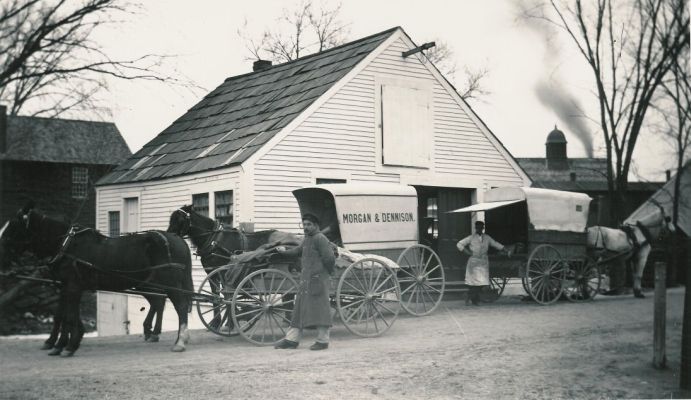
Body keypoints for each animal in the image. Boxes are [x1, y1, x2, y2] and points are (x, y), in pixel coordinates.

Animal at [1, 203, 195, 356]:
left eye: (14, 227)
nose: (2, 259)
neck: (67, 245)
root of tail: (178, 239)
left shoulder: (72, 286)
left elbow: (69, 316)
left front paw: (68, 345)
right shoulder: (66, 286)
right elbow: (63, 315)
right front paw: (60, 343)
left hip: (169, 283)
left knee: (180, 306)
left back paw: (180, 341)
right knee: (161, 302)